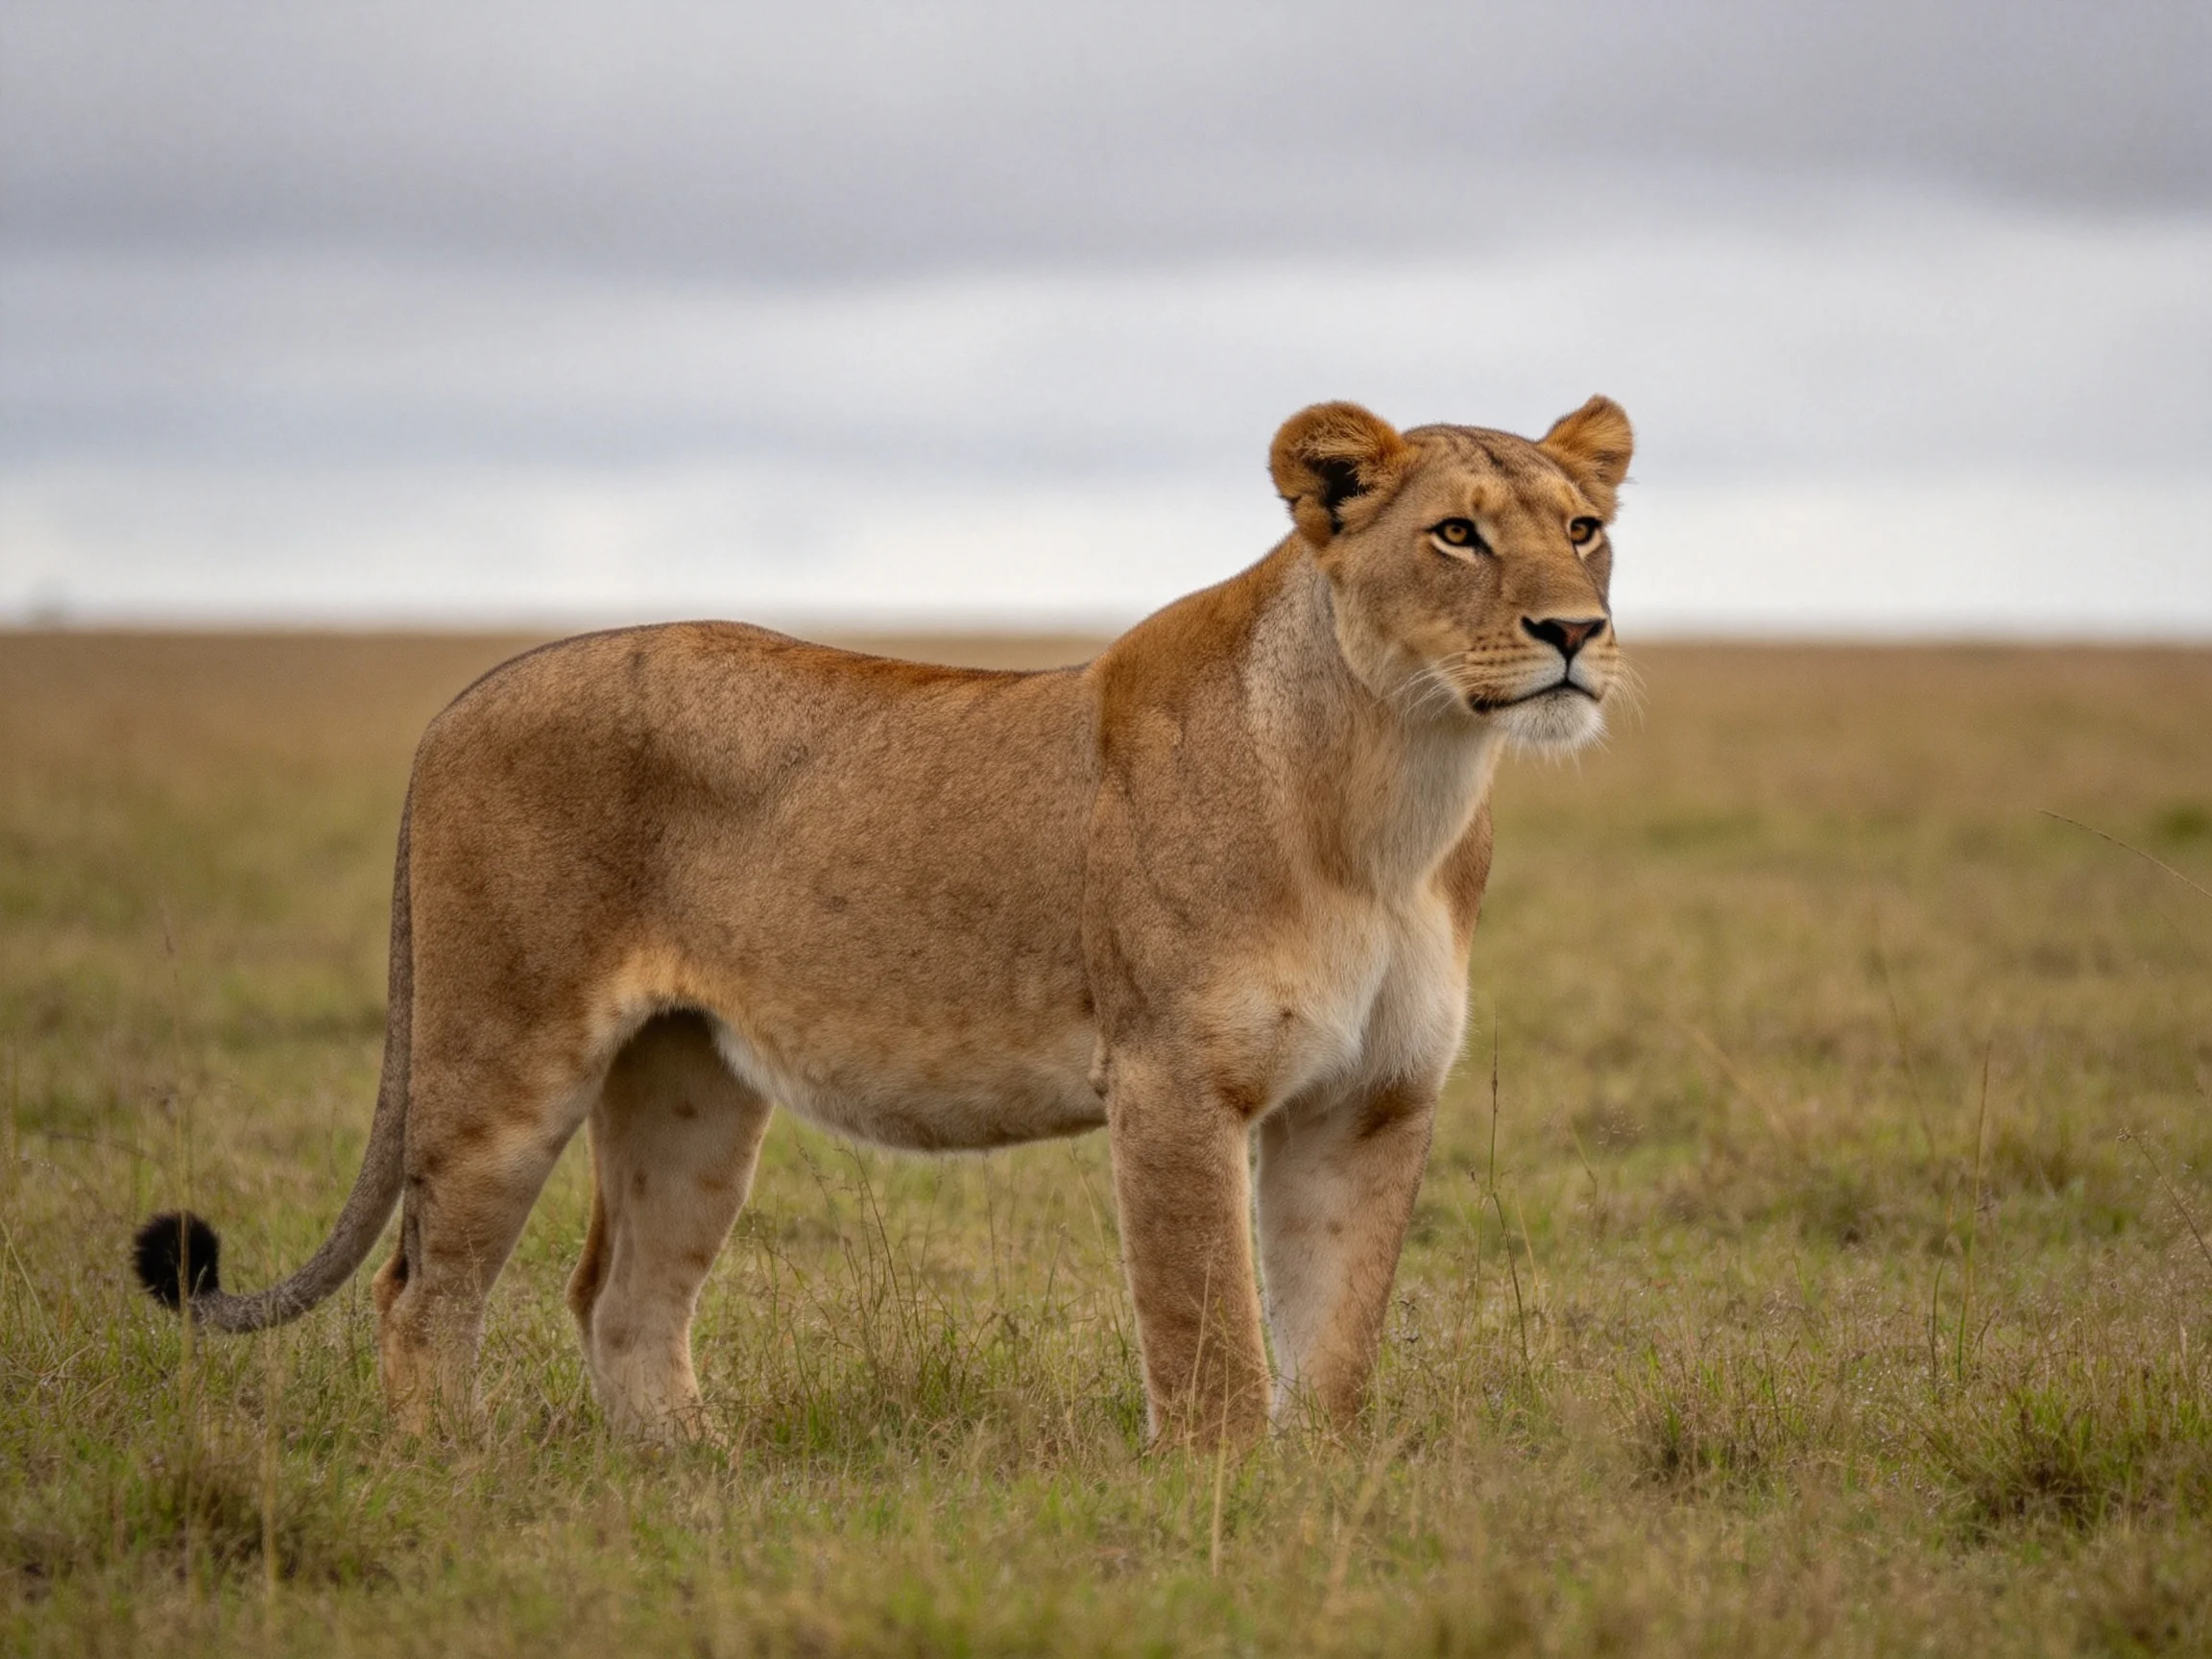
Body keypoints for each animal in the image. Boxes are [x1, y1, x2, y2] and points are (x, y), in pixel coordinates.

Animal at [132, 395, 1632, 1447]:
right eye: (1455, 534)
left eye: (1582, 529)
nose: (1576, 632)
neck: (1397, 791)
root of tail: (472, 688)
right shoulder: (1175, 1083)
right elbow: (1208, 1333)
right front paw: (1228, 1507)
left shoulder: (1371, 1100)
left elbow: (1334, 1338)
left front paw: (1317, 1494)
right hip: (502, 1057)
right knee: (423, 1289)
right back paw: (457, 1475)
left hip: (690, 1088)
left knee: (622, 1298)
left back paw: (704, 1483)